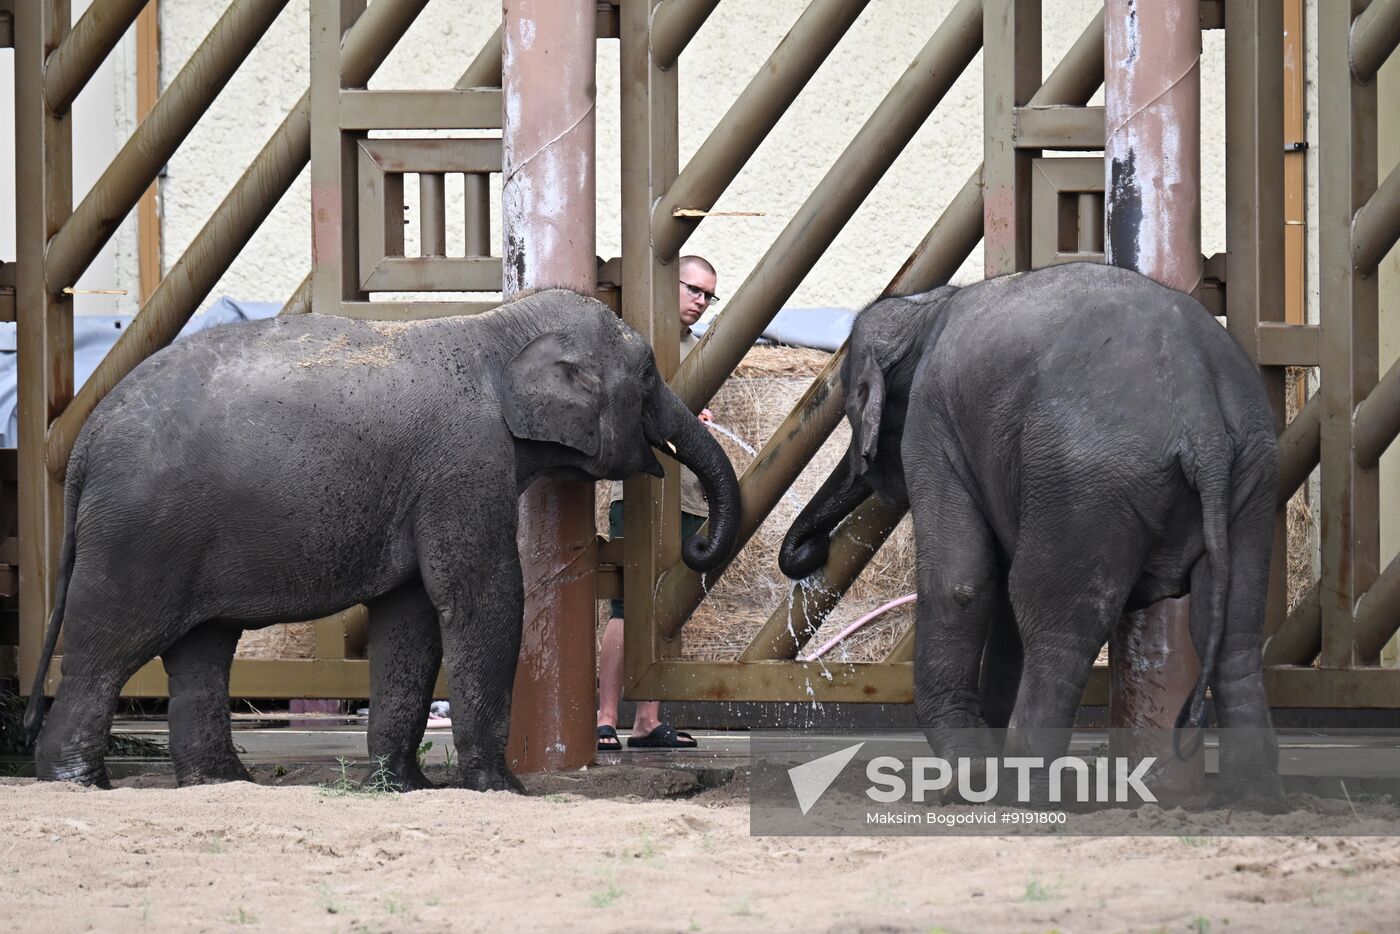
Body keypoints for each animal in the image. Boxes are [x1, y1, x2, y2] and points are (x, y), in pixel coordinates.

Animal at [24, 289, 740, 791]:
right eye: (647, 377)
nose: (698, 545)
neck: (496, 327)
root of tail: (85, 439)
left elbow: (410, 617)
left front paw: (404, 786)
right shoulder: (464, 462)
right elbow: (479, 597)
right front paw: (501, 788)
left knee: (202, 648)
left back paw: (222, 783)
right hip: (138, 533)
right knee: (108, 647)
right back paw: (76, 783)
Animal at [780, 263, 1280, 800]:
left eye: (852, 408)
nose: (813, 551)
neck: (929, 306)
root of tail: (1200, 411)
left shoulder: (933, 424)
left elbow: (961, 581)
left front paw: (970, 775)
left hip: (1085, 481)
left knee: (1054, 623)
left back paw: (1026, 786)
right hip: (1253, 470)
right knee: (1233, 628)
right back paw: (1255, 795)